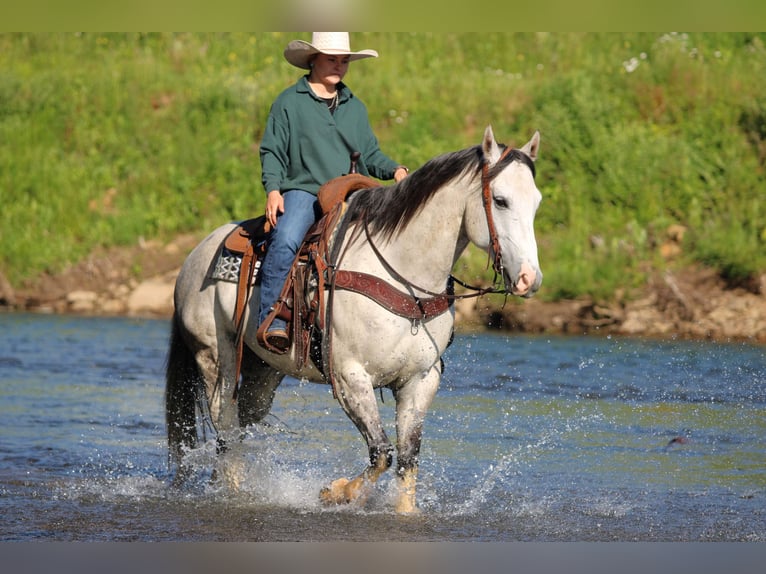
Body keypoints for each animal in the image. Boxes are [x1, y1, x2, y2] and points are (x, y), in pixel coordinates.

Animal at [164, 126, 543, 514]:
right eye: (501, 201)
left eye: (537, 202)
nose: (529, 279)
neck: (403, 274)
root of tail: (195, 256)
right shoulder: (349, 376)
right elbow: (381, 452)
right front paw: (334, 492)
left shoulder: (421, 380)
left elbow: (407, 458)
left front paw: (403, 511)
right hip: (215, 355)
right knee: (225, 423)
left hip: (263, 369)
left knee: (242, 423)